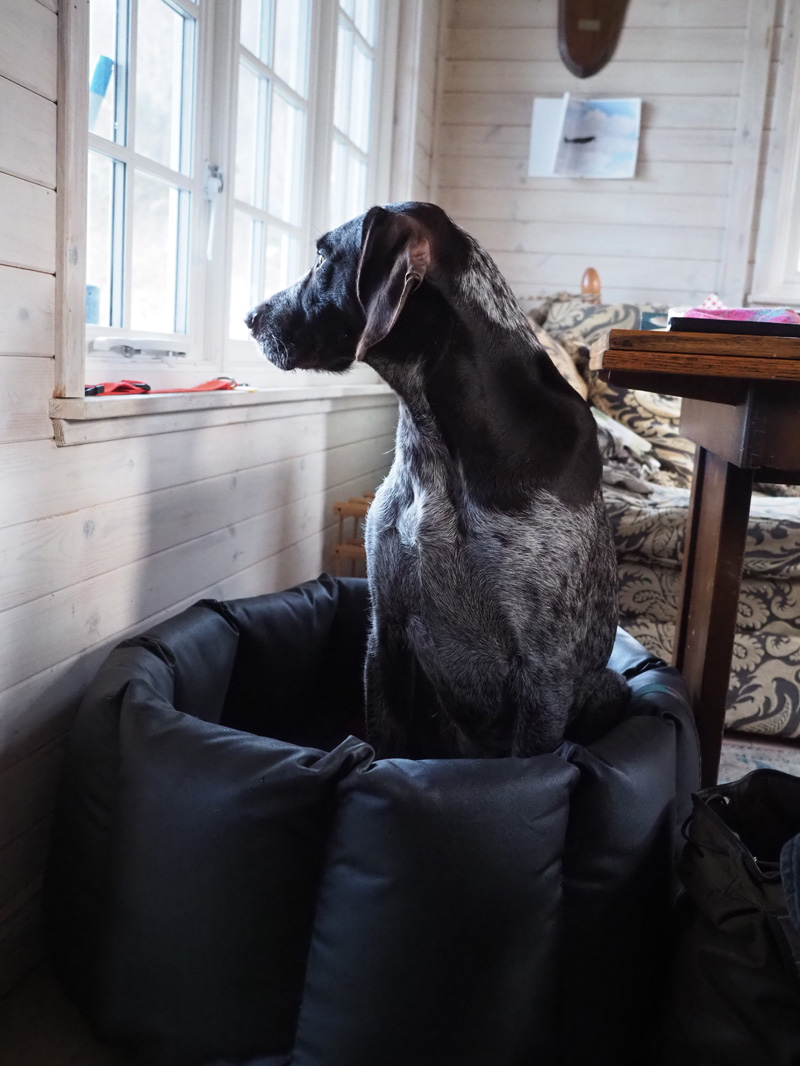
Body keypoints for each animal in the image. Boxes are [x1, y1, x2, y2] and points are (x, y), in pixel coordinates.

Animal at [246, 201, 631, 758]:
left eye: (321, 259)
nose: (250, 318)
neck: (435, 445)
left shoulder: (546, 678)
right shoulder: (386, 632)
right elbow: (385, 740)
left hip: (611, 688)